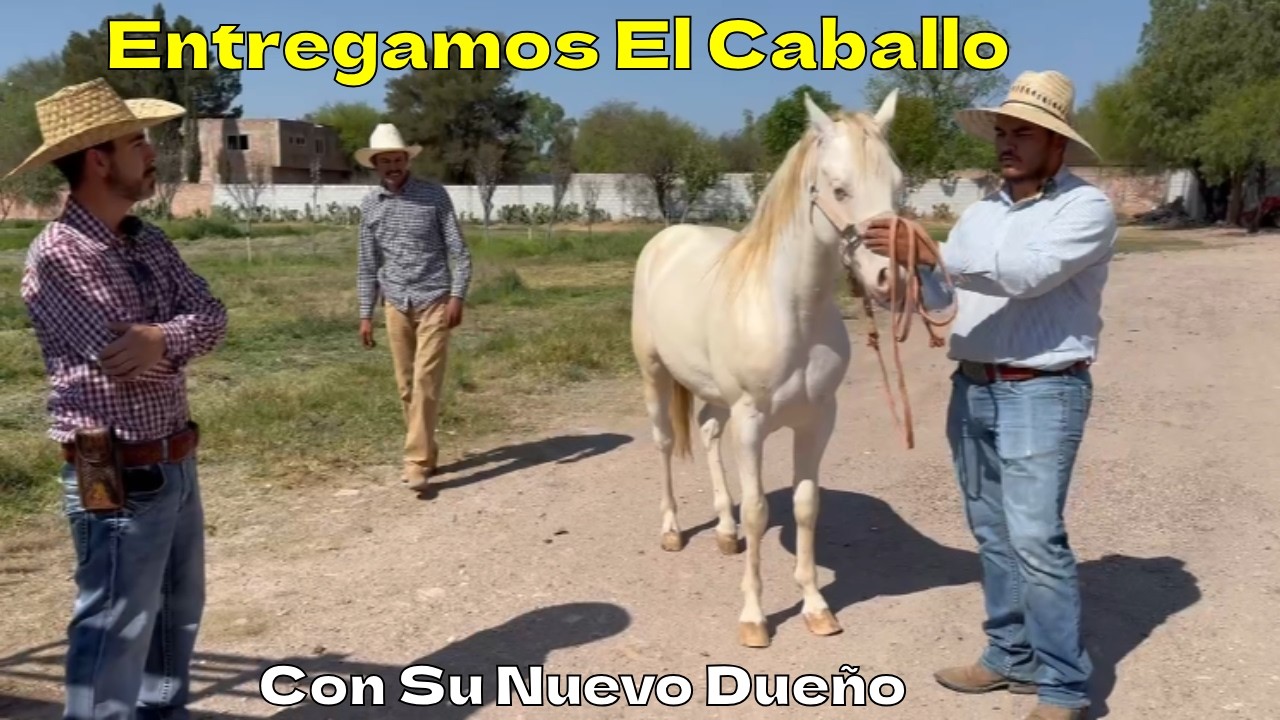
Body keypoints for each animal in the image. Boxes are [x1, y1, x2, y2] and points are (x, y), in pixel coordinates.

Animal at [629, 89, 907, 648]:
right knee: (666, 443)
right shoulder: (753, 421)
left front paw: (817, 607)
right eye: (839, 188)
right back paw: (672, 530)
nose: (889, 278)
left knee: (707, 432)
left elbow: (805, 505)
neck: (790, 311)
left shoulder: (818, 419)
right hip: (655, 375)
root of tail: (666, 240)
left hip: (715, 397)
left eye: (898, 185)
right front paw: (755, 618)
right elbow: (758, 510)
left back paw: (724, 531)